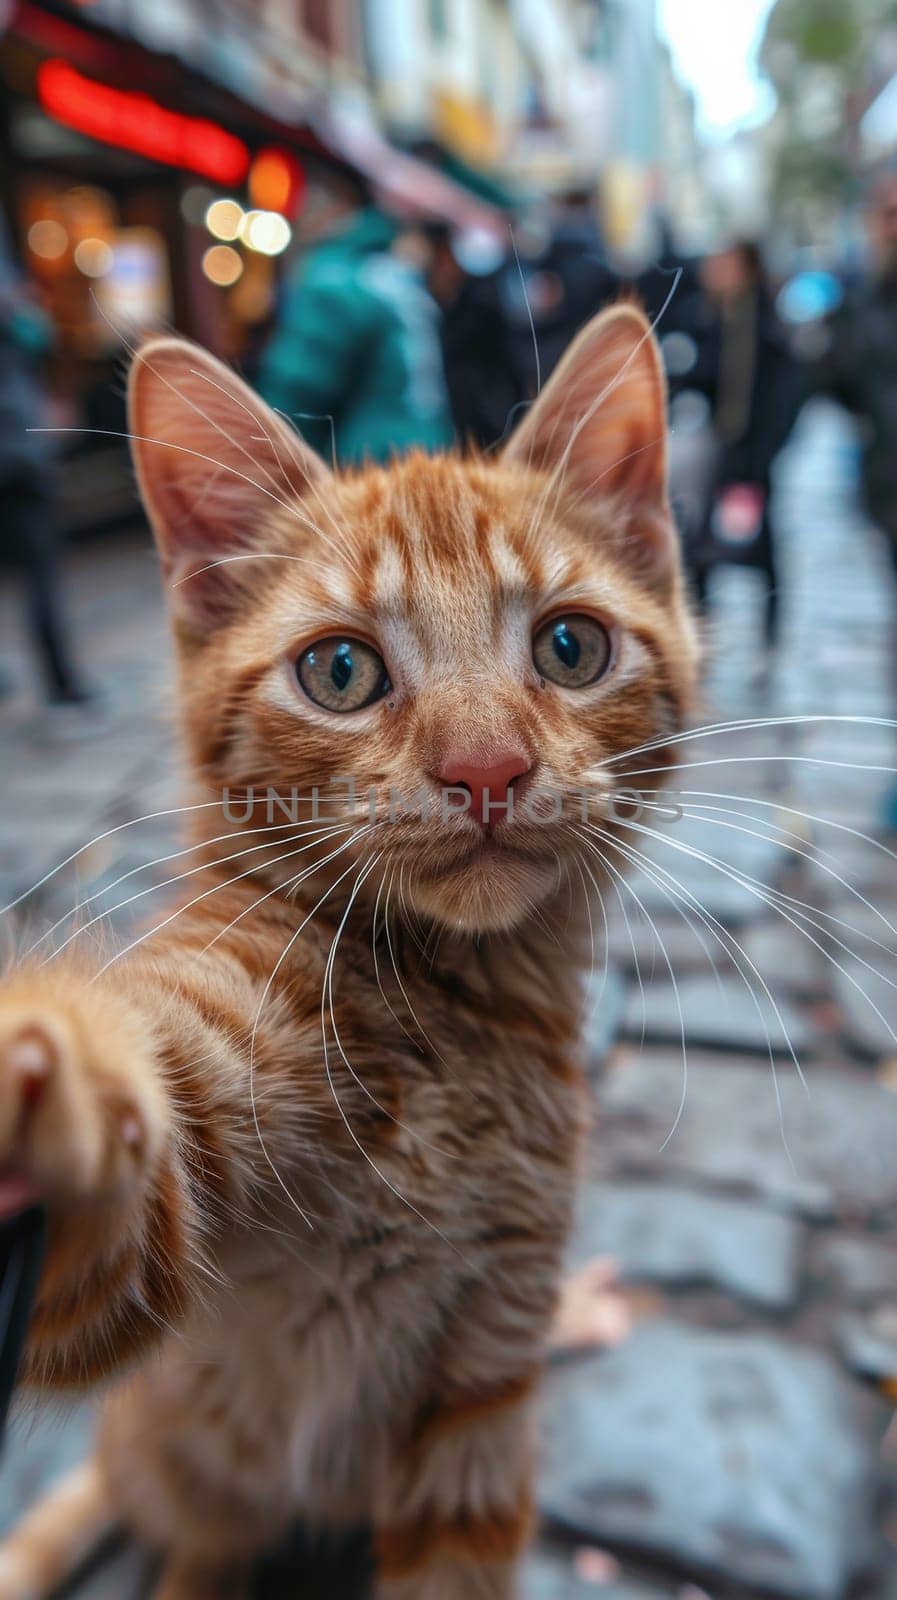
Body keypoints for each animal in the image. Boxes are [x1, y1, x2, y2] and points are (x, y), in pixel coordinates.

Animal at [0, 305, 697, 1593]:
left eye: (571, 648)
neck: (458, 1019)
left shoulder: (481, 1395)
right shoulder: (152, 1235)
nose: (487, 769)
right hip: (189, 1465)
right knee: (197, 1550)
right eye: (340, 670)